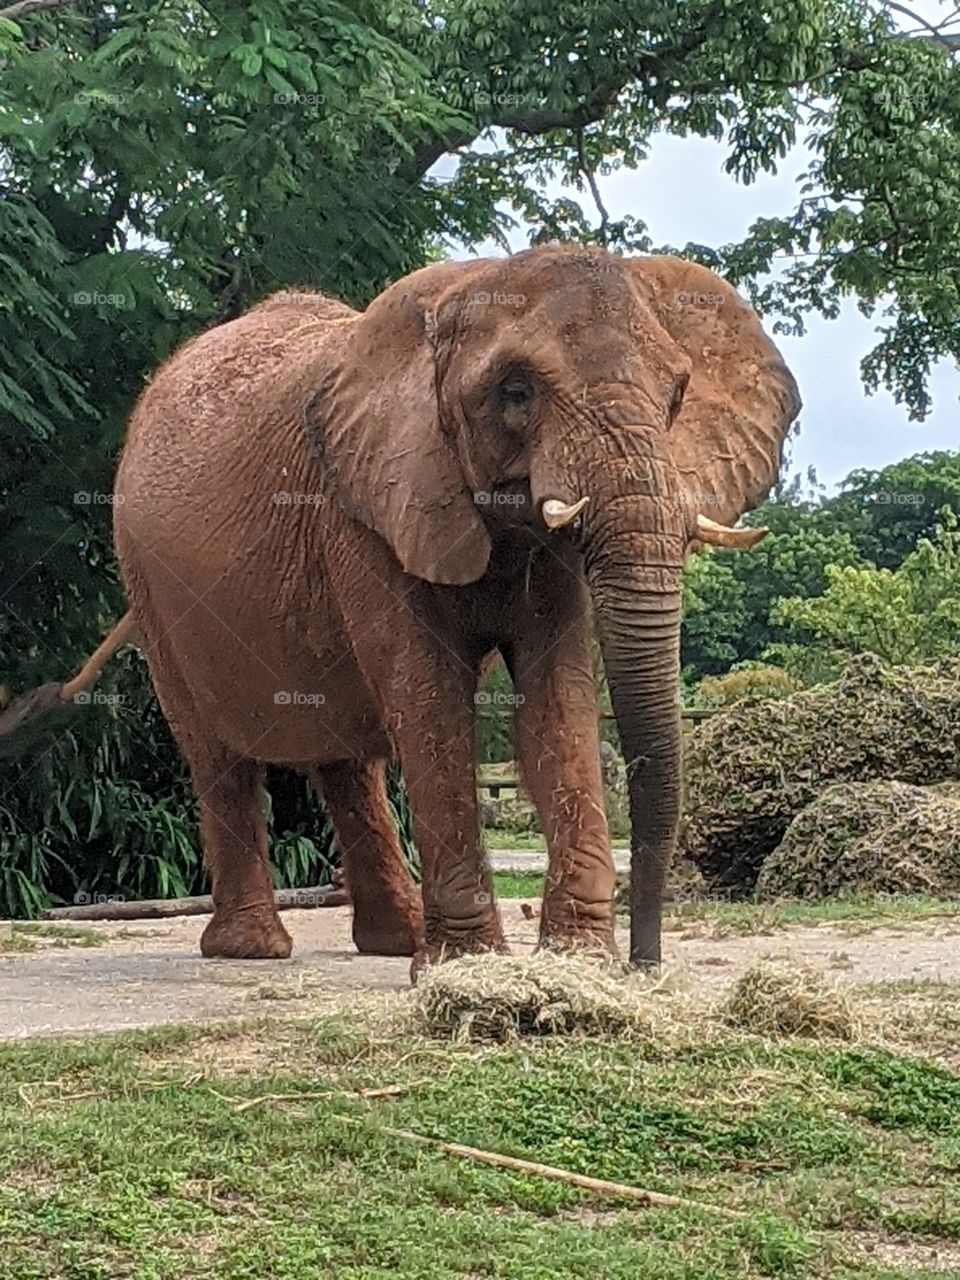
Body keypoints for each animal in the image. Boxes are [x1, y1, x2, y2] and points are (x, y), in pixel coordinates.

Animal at [6, 245, 799, 969]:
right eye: (516, 392)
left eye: (677, 395)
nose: (647, 960)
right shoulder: (366, 507)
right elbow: (429, 698)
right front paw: (469, 965)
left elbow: (558, 696)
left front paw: (575, 961)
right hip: (149, 586)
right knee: (216, 756)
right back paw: (253, 949)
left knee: (344, 758)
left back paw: (394, 942)